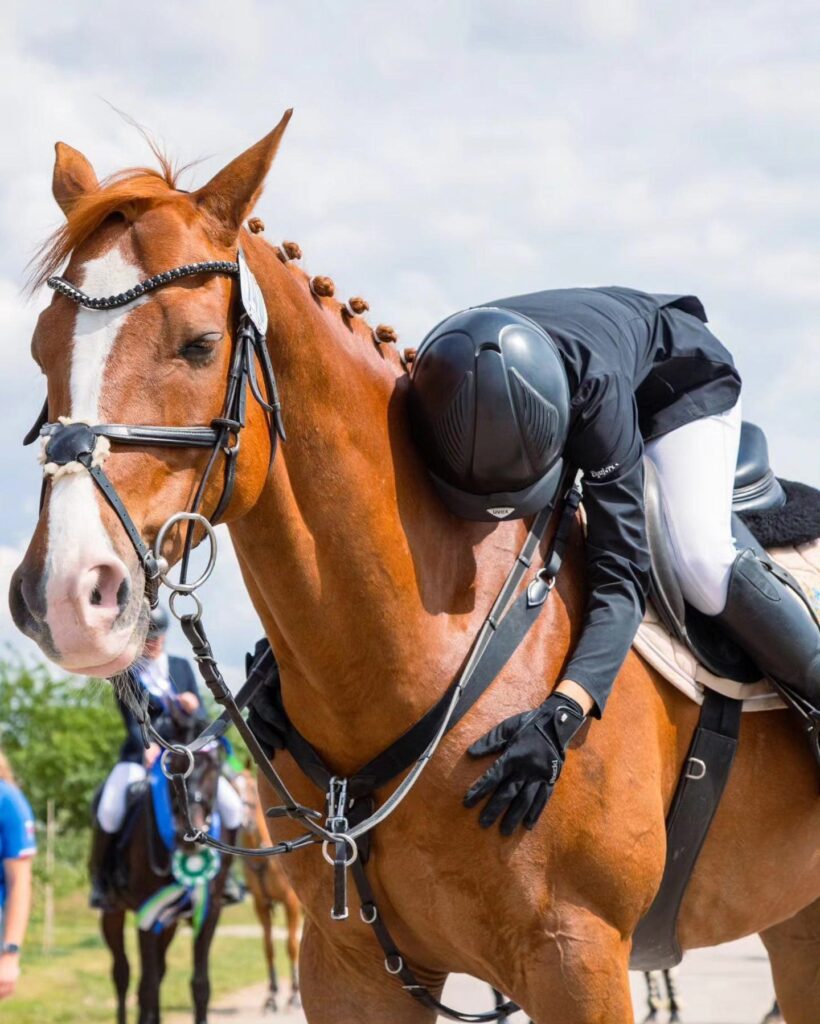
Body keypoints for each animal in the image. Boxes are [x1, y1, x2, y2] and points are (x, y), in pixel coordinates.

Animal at [99, 716, 233, 1024]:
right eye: (171, 765)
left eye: (214, 766)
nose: (188, 837)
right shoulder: (147, 915)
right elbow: (146, 985)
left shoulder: (208, 913)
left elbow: (199, 985)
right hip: (113, 912)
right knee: (122, 974)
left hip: (169, 922)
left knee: (158, 972)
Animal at [235, 770, 303, 1007]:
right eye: (230, 785)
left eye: (250, 788)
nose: (242, 821)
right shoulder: (260, 904)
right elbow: (268, 946)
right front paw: (272, 994)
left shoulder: (291, 903)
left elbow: (292, 945)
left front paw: (294, 994)